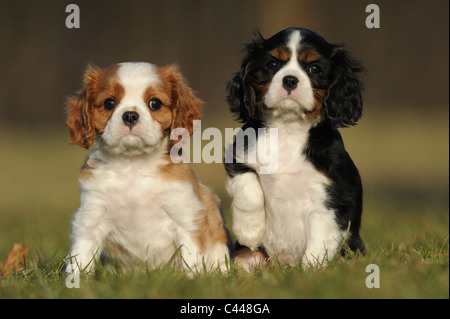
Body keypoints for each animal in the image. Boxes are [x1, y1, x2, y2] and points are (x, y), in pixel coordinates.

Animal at [66, 62, 232, 276]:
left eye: (155, 104)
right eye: (109, 103)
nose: (130, 116)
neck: (133, 165)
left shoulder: (187, 216)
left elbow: (191, 257)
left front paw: (191, 279)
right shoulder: (91, 217)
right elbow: (81, 255)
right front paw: (77, 280)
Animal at [225, 27, 366, 270]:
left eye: (314, 68)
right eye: (272, 64)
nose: (290, 80)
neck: (288, 127)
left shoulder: (330, 201)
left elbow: (318, 241)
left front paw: (311, 273)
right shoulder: (237, 155)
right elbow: (248, 186)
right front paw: (249, 230)